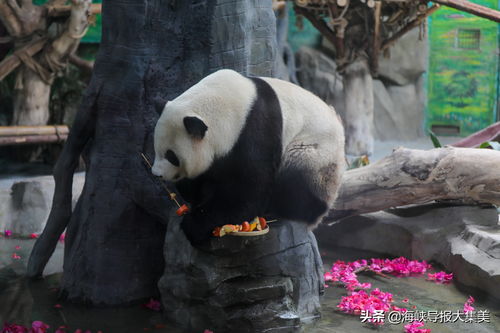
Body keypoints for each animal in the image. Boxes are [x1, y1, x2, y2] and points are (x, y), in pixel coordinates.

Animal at [151, 68, 344, 244]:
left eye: (171, 156)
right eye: (156, 149)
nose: (156, 174)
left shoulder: (254, 131)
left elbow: (247, 189)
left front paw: (196, 225)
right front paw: (194, 195)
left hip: (315, 152)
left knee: (298, 183)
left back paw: (279, 210)